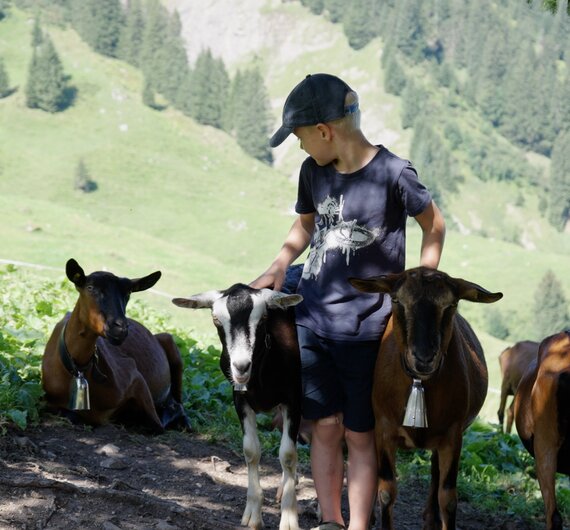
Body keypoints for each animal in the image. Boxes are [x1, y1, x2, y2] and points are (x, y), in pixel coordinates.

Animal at [42, 258, 189, 432]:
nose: (120, 328)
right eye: (90, 288)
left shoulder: (134, 375)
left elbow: (157, 425)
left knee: (179, 402)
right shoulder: (48, 401)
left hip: (171, 345)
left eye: (128, 294)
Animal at [172, 284, 302, 528]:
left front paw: (289, 518)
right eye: (215, 319)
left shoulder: (294, 398)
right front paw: (253, 515)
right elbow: (251, 451)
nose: (241, 366)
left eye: (263, 319)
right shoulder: (240, 399)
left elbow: (288, 454)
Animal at [348, 266, 500, 528]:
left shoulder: (453, 434)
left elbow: (448, 497)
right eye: (397, 300)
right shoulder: (384, 429)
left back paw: (431, 516)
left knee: (436, 472)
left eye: (451, 304)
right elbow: (386, 489)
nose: (424, 357)